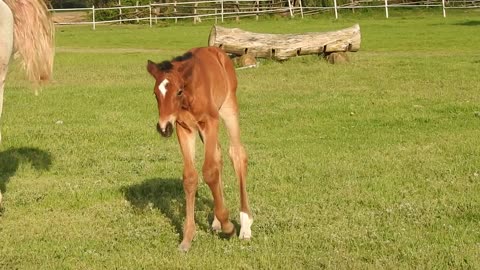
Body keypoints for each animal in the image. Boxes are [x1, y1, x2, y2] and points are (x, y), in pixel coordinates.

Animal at [146, 46, 253, 251]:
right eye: (155, 93)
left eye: (179, 91)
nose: (163, 128)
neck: (190, 95)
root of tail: (218, 51)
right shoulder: (183, 128)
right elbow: (190, 177)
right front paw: (187, 238)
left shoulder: (210, 122)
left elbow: (209, 172)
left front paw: (229, 227)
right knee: (218, 156)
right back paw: (217, 221)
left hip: (228, 108)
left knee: (237, 155)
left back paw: (245, 226)